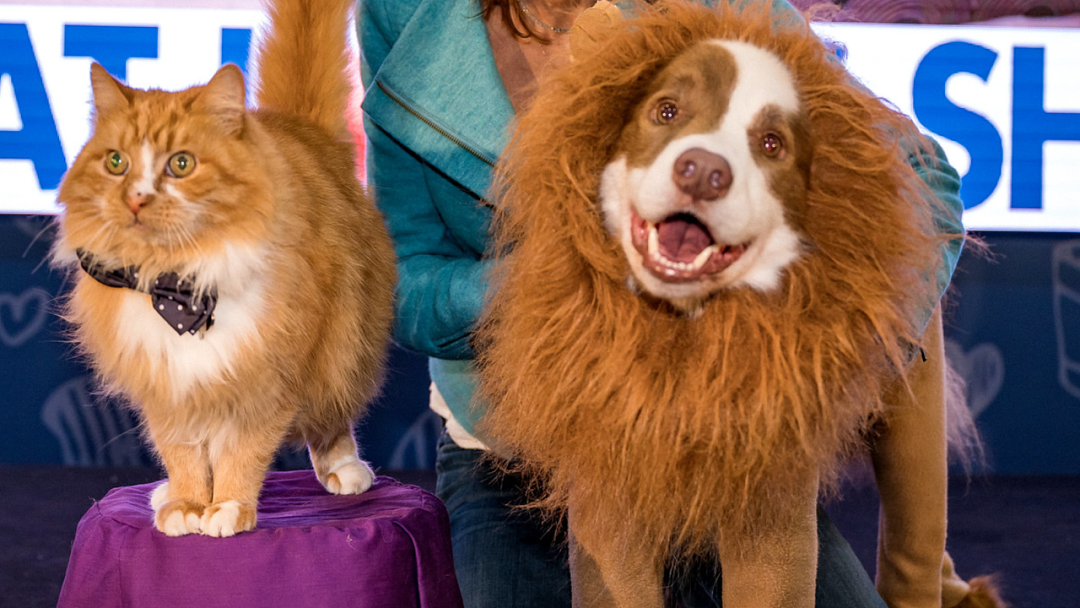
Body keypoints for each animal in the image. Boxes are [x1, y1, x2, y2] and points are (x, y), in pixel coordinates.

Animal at [51, 0, 397, 537]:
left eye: (181, 164)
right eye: (116, 163)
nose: (135, 198)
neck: (176, 283)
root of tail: (300, 128)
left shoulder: (266, 378)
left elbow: (241, 454)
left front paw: (229, 508)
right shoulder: (167, 386)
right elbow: (184, 454)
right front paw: (188, 504)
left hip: (341, 344)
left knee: (332, 415)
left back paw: (344, 469)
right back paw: (165, 494)